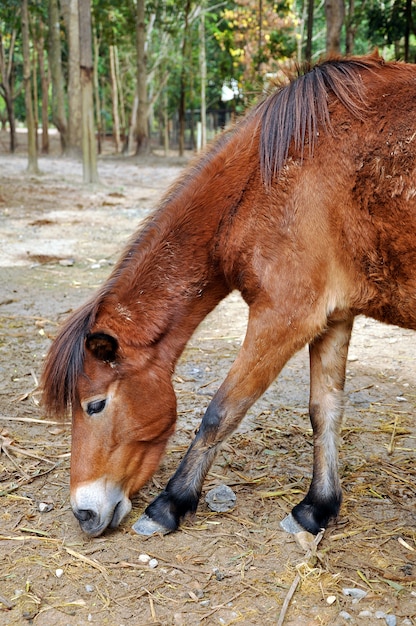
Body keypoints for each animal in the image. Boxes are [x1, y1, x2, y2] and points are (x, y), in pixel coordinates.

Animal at [41, 54, 416, 536]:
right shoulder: (333, 316)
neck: (270, 174)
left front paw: (170, 504)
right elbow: (325, 409)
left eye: (96, 405)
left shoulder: (283, 318)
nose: (84, 514)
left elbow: (221, 412)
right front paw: (316, 508)